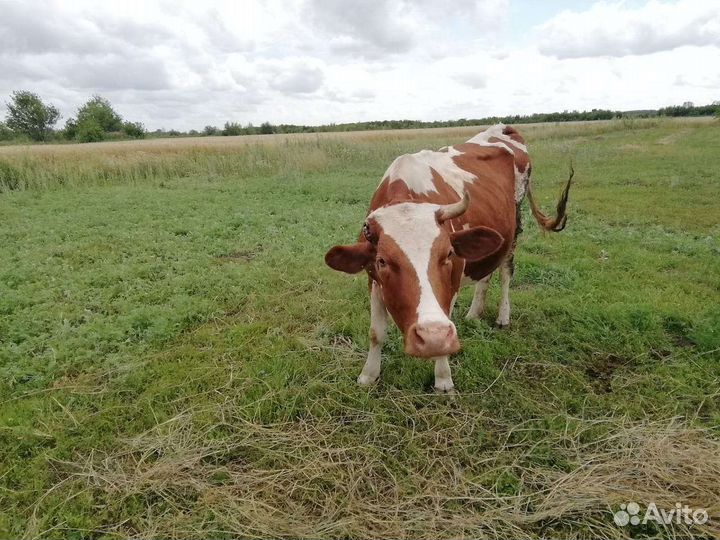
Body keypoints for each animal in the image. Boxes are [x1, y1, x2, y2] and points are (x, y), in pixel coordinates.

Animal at [325, 124, 572, 393]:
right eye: (382, 261)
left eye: (449, 254)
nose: (430, 337)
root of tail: (502, 128)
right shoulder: (372, 280)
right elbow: (376, 332)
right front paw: (368, 375)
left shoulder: (452, 280)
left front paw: (443, 379)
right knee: (486, 273)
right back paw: (474, 313)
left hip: (514, 228)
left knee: (506, 271)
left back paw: (503, 317)